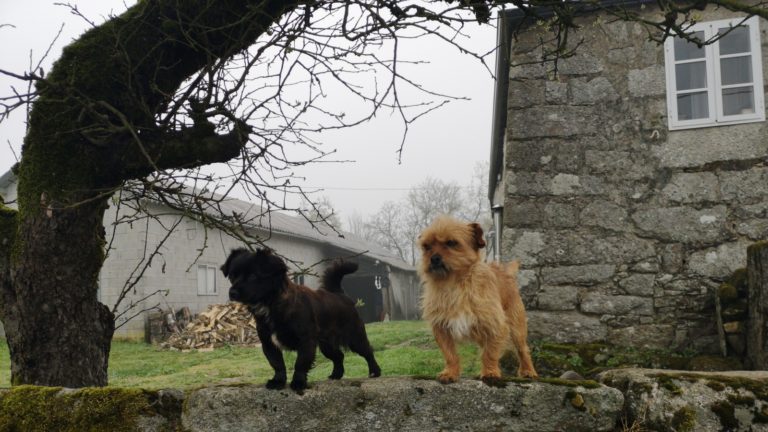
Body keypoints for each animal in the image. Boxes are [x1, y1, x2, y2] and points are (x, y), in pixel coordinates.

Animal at [220, 246, 380, 392]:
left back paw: (375, 372)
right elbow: (277, 364)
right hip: (326, 345)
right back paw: (336, 374)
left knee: (368, 352)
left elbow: (301, 363)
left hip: (355, 338)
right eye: (232, 276)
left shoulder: (306, 341)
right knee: (339, 356)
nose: (232, 292)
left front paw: (298, 383)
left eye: (253, 276)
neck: (271, 304)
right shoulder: (269, 344)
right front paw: (278, 382)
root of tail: (338, 293)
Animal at [416, 218, 536, 384]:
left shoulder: (495, 326)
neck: (454, 285)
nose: (433, 258)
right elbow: (450, 355)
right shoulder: (441, 328)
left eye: (451, 243)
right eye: (426, 246)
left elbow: (489, 353)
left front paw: (490, 373)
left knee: (523, 350)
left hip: (517, 329)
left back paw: (528, 371)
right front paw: (450, 372)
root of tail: (505, 273)